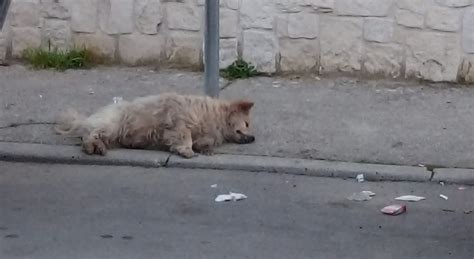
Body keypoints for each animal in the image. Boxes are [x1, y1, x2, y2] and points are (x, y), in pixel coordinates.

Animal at [54, 93, 256, 158]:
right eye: (246, 123)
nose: (253, 138)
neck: (216, 118)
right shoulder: (179, 120)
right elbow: (185, 136)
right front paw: (186, 150)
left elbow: (202, 141)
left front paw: (205, 148)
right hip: (111, 126)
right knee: (89, 136)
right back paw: (92, 146)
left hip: (113, 136)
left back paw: (99, 147)